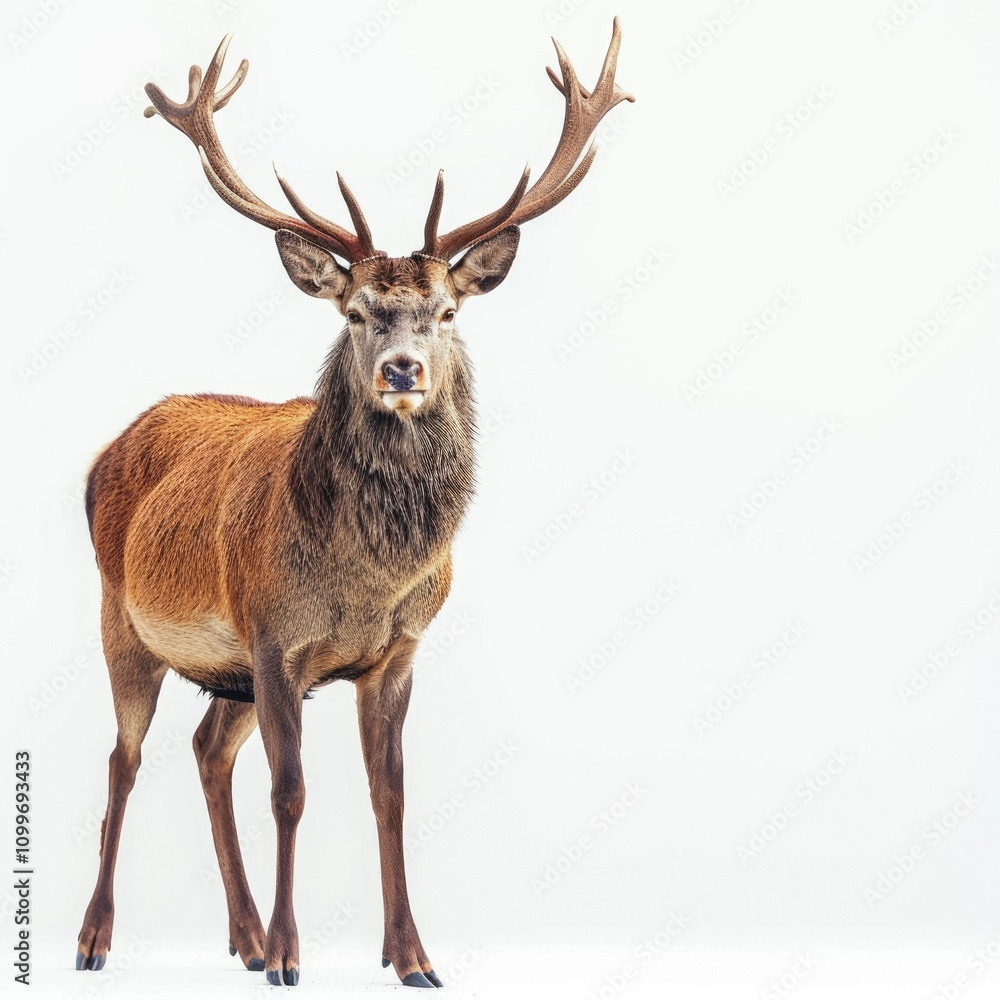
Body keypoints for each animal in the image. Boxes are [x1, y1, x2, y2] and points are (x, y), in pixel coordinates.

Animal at [74, 20, 633, 988]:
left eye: (447, 312)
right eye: (357, 311)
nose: (402, 371)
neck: (363, 583)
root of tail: (101, 456)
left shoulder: (395, 653)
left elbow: (391, 793)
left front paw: (410, 956)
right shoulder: (274, 638)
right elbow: (291, 792)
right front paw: (291, 958)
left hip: (224, 670)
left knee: (205, 752)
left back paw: (240, 936)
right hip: (123, 618)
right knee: (122, 758)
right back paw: (99, 939)